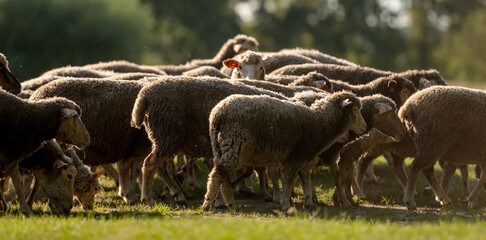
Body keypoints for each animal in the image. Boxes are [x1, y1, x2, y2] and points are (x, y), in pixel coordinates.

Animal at [131, 76, 286, 205]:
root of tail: (144, 95)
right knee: (150, 164)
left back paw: (177, 194)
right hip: (166, 135)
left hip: (165, 139)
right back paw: (148, 199)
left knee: (160, 166)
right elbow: (265, 171)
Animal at [199, 91, 366, 211]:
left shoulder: (303, 158)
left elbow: (305, 179)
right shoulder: (294, 158)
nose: (364, 128)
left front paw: (308, 202)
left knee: (221, 174)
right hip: (235, 145)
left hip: (220, 147)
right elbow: (287, 180)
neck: (320, 123)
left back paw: (228, 203)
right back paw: (209, 204)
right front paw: (286, 204)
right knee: (218, 173)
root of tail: (217, 114)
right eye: (354, 110)